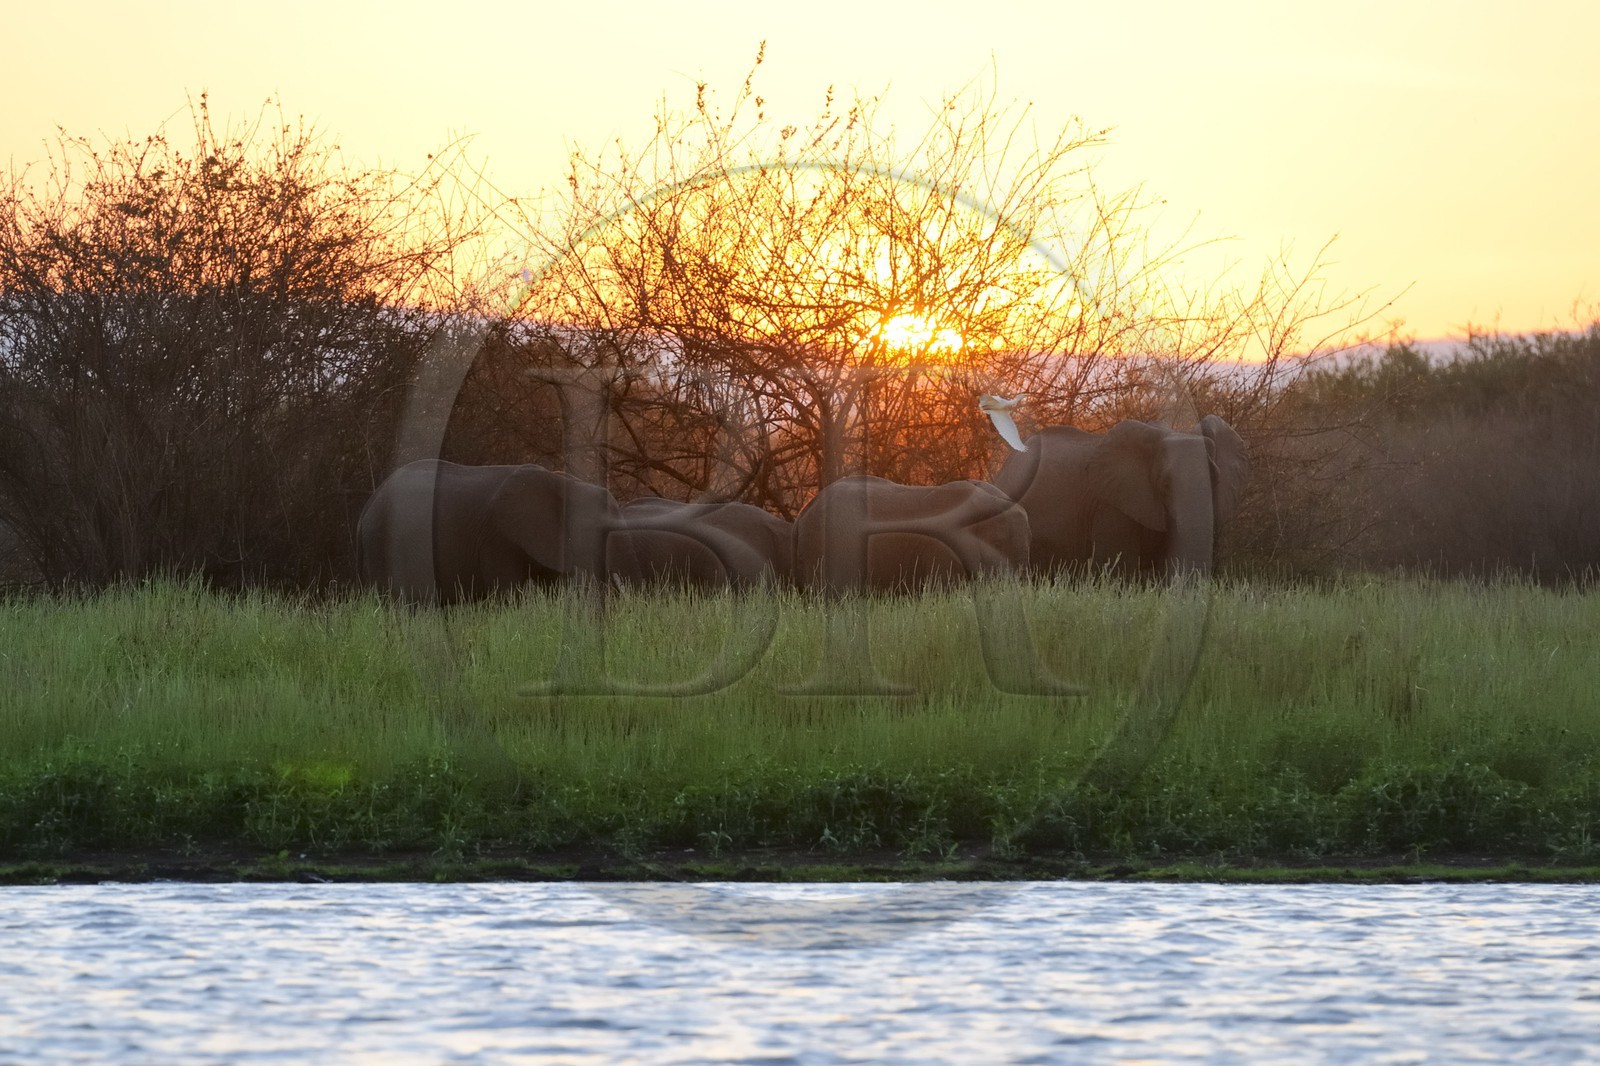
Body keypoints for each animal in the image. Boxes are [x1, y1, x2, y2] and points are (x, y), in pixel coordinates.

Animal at [356, 459, 621, 604]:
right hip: (383, 543)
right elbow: (507, 594)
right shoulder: (497, 537)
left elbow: (554, 588)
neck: (564, 481)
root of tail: (368, 505)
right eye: (600, 530)